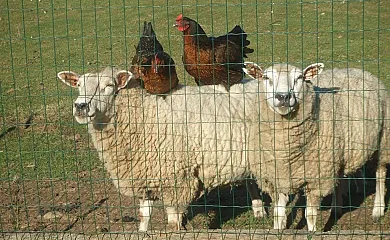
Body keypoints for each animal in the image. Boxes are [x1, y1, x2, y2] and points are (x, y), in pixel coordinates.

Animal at [57, 66, 266, 232]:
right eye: (78, 85)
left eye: (108, 86)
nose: (80, 106)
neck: (144, 115)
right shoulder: (147, 175)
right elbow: (144, 216)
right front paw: (142, 232)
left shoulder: (176, 179)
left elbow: (173, 220)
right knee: (250, 180)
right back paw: (259, 210)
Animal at [242, 62, 388, 231]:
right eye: (266, 77)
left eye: (300, 77)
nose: (283, 96)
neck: (284, 151)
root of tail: (357, 69)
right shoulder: (276, 177)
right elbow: (279, 213)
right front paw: (278, 230)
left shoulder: (316, 178)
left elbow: (310, 215)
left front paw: (312, 232)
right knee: (340, 178)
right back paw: (337, 207)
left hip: (383, 140)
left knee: (380, 174)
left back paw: (378, 210)